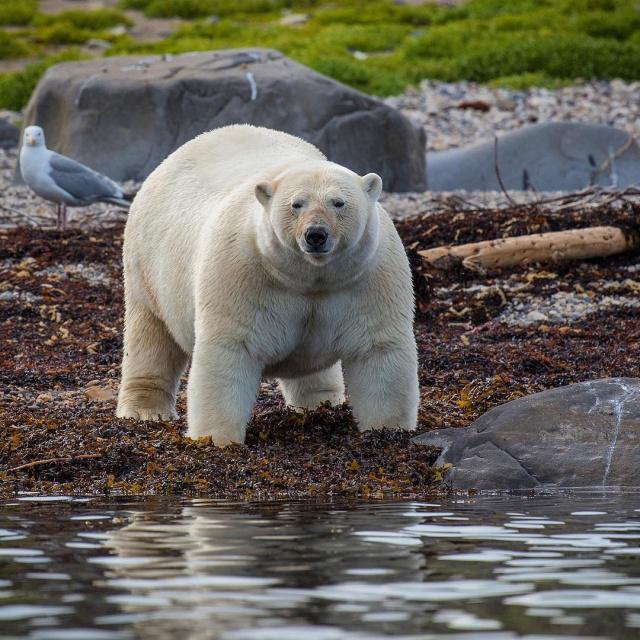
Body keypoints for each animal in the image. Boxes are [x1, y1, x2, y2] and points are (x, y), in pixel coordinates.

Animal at [116, 125, 420, 444]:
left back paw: (319, 403)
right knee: (151, 336)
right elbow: (229, 348)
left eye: (339, 203)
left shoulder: (369, 274)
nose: (316, 234)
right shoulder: (242, 270)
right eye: (296, 204)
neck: (308, 277)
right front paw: (216, 439)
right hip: (147, 266)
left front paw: (388, 431)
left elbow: (378, 348)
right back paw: (144, 410)